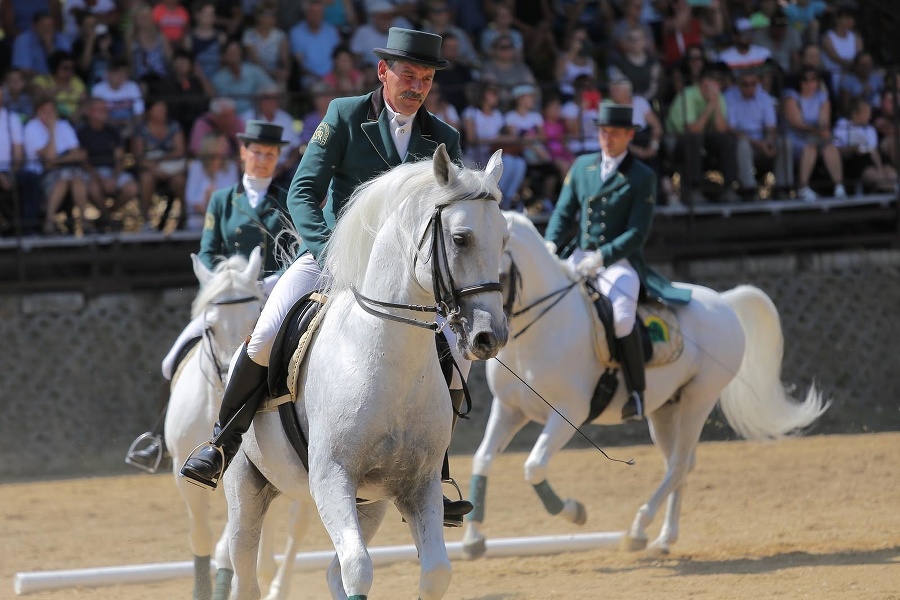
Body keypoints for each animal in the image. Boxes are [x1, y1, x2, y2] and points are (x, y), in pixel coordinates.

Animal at [167, 246, 308, 596]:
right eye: (210, 328)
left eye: (255, 318)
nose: (229, 377)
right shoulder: (182, 471)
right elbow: (201, 535)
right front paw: (202, 589)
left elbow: (227, 545)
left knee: (297, 527)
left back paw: (277, 587)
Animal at [222, 146, 510, 600]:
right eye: (461, 238)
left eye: (503, 239)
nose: (490, 336)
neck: (390, 365)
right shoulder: (331, 479)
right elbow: (358, 569)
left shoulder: (418, 484)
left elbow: (435, 573)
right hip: (245, 490)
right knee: (246, 577)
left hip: (369, 504)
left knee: (331, 572)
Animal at [464, 212, 828, 556]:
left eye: (496, 271)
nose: (482, 338)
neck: (539, 330)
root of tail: (723, 301)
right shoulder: (509, 409)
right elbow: (482, 460)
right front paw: (473, 540)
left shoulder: (569, 413)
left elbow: (534, 467)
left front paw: (574, 512)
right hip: (666, 408)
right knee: (679, 465)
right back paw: (664, 538)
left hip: (700, 397)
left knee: (679, 464)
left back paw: (639, 528)